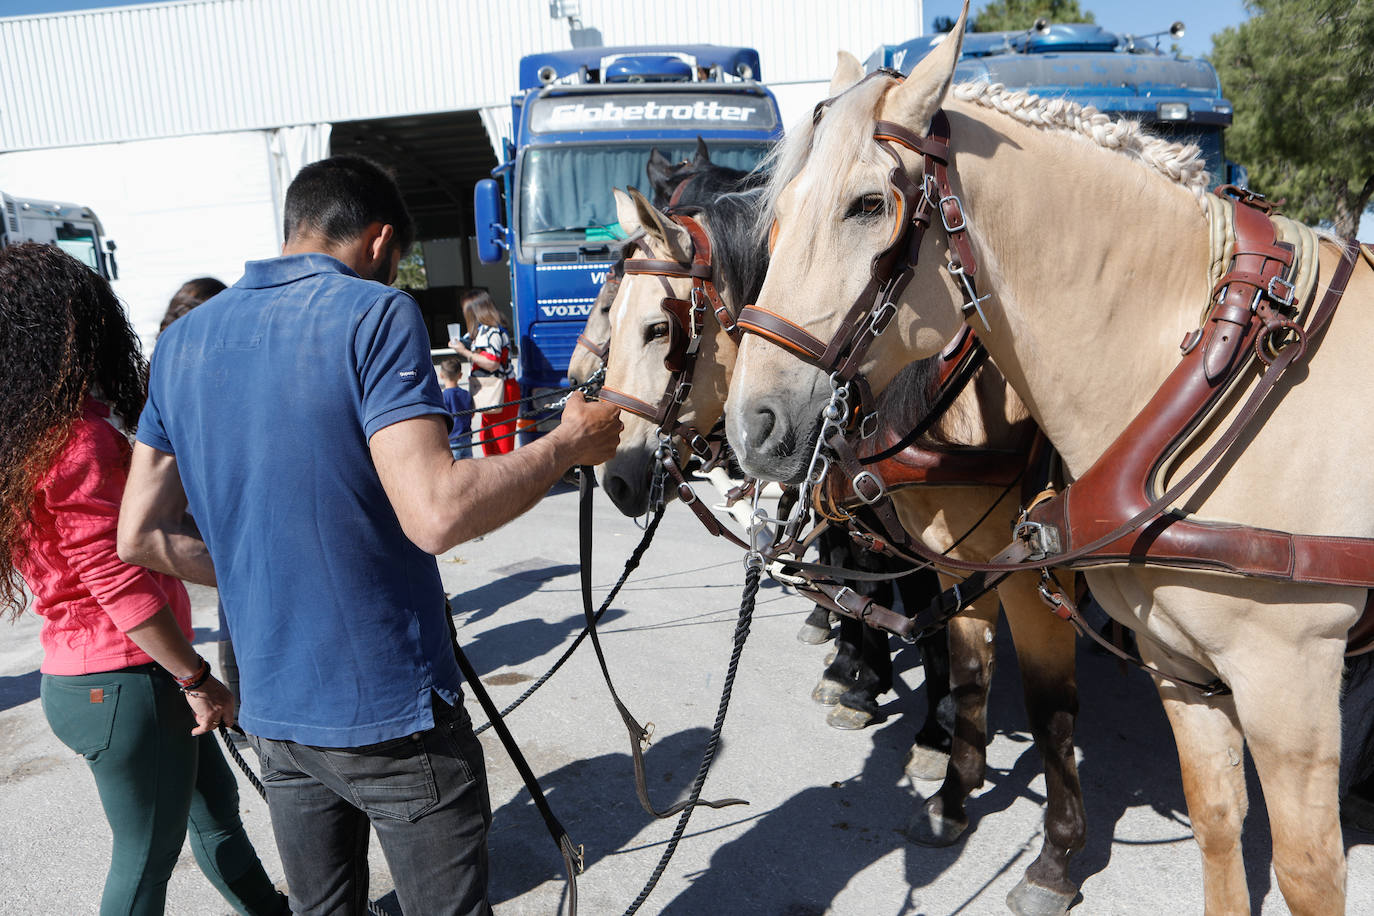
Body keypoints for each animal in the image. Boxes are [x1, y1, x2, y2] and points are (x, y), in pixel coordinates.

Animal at [599, 181, 1089, 914]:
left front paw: (931, 732)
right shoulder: (887, 518)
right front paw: (863, 682)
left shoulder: (997, 556)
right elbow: (872, 589)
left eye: (659, 329)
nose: (617, 479)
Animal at [725, 5, 1374, 912]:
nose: (752, 423)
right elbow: (1211, 821)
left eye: (868, 204)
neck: (1204, 369)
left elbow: (1303, 866)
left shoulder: (1284, 675)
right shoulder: (1170, 659)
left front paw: (1053, 857)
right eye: (778, 212)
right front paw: (954, 792)